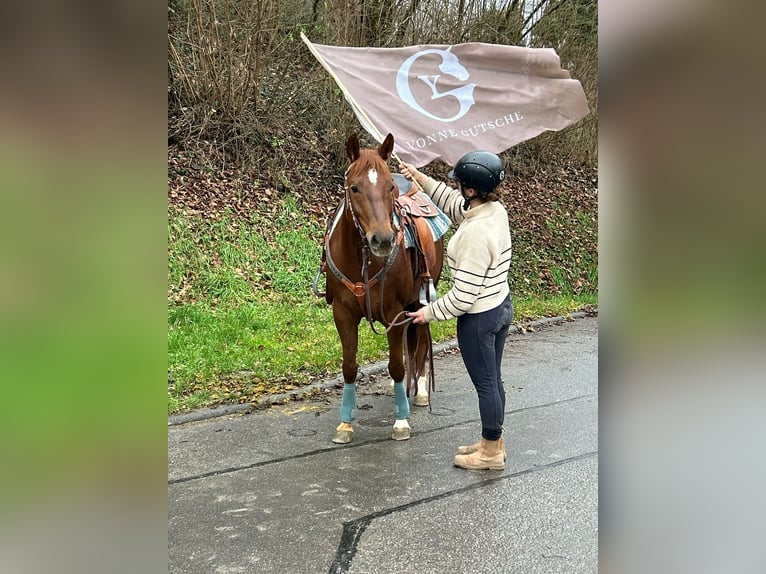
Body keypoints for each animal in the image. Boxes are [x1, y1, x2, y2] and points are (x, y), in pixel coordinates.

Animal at [319, 133, 444, 444]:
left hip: (422, 299)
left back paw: (419, 390)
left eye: (389, 187)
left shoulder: (395, 313)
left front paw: (400, 421)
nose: (383, 240)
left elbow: (397, 364)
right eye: (354, 187)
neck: (362, 258)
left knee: (420, 340)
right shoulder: (343, 314)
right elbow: (349, 367)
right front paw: (345, 424)